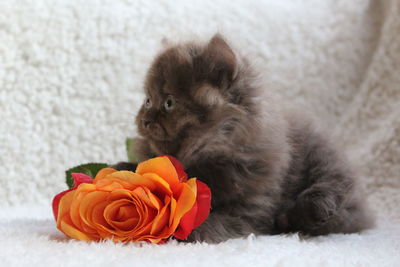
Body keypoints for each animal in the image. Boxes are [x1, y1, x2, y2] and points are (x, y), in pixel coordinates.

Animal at [114, 34, 374, 244]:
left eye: (169, 103)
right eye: (148, 100)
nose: (145, 119)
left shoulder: (253, 203)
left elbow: (217, 221)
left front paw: (186, 230)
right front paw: (121, 169)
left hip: (326, 166)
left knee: (333, 202)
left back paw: (295, 218)